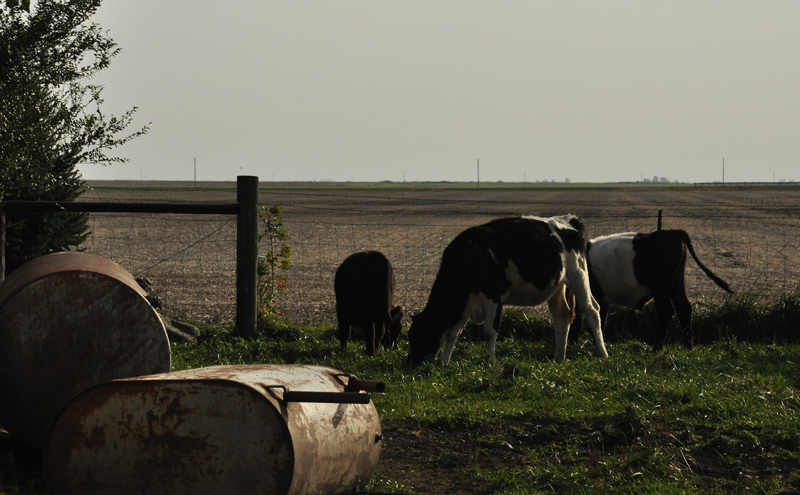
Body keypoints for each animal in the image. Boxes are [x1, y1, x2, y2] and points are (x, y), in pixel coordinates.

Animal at [407, 215, 608, 366]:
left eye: (420, 334)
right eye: (410, 335)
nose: (410, 363)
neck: (470, 256)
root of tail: (570, 219)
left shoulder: (494, 296)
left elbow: (489, 331)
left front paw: (490, 361)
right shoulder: (465, 302)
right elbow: (453, 333)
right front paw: (444, 361)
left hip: (578, 275)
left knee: (592, 310)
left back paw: (602, 352)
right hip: (557, 285)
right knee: (562, 316)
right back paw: (559, 356)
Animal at [572, 229, 733, 350]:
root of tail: (670, 233)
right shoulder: (602, 298)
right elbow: (600, 320)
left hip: (662, 287)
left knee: (666, 312)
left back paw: (656, 349)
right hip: (676, 282)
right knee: (684, 308)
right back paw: (688, 347)